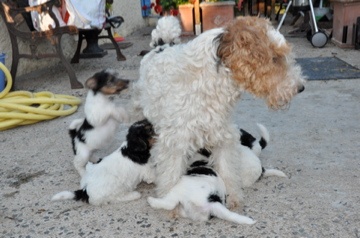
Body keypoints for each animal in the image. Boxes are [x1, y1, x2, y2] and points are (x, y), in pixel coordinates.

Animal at [131, 15, 306, 207]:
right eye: (275, 58)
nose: (301, 87)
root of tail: (162, 44)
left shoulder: (223, 136)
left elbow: (227, 171)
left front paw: (234, 197)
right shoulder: (175, 141)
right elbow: (171, 175)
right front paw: (167, 198)